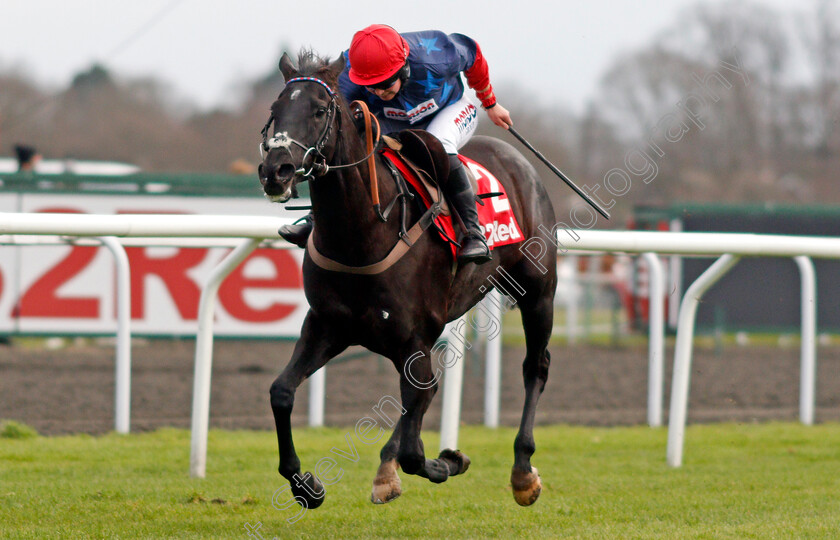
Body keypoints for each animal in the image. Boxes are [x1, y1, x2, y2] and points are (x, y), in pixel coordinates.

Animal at [260, 50, 556, 506]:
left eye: (319, 110)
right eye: (275, 111)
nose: (276, 170)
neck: (361, 232)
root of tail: (517, 160)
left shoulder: (413, 336)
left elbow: (417, 448)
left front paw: (449, 461)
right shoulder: (329, 324)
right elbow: (282, 392)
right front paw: (305, 484)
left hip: (538, 293)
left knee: (534, 367)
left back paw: (523, 472)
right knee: (422, 393)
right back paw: (386, 468)